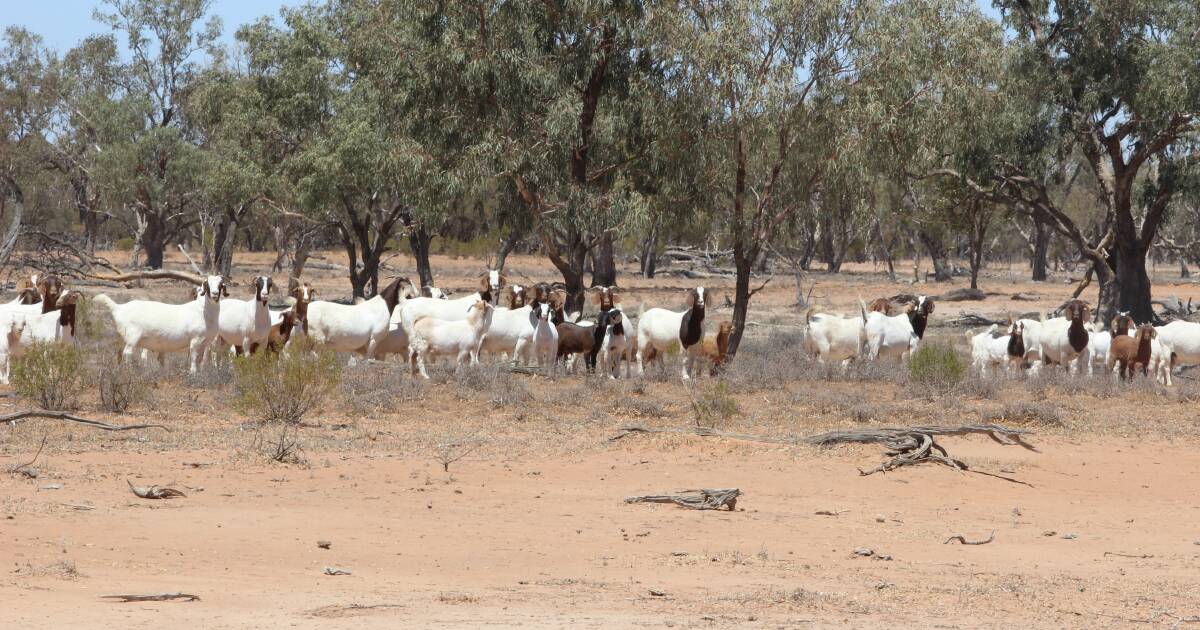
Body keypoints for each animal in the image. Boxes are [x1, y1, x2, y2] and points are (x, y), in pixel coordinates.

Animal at [95, 275, 227, 373]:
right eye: (208, 284)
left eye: (220, 284)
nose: (215, 294)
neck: (202, 310)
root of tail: (119, 308)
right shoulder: (195, 340)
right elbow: (194, 358)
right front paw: (193, 373)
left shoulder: (205, 342)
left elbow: (199, 359)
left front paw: (199, 373)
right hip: (133, 336)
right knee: (127, 352)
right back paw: (130, 371)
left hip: (123, 337)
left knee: (119, 352)